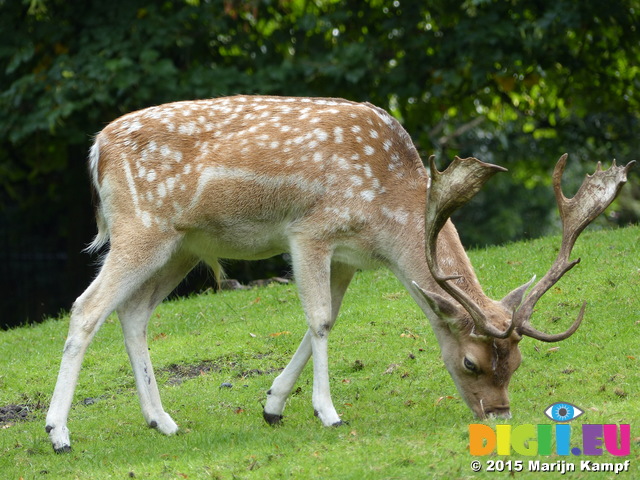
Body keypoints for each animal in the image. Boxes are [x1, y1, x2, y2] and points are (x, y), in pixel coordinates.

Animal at [43, 95, 632, 452]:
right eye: (471, 362)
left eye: (517, 362)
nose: (499, 414)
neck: (387, 212)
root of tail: (97, 149)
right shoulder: (310, 231)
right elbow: (322, 320)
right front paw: (328, 412)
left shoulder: (349, 256)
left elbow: (322, 321)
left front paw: (273, 406)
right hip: (141, 228)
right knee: (86, 307)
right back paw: (58, 432)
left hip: (182, 246)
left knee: (133, 312)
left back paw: (162, 420)